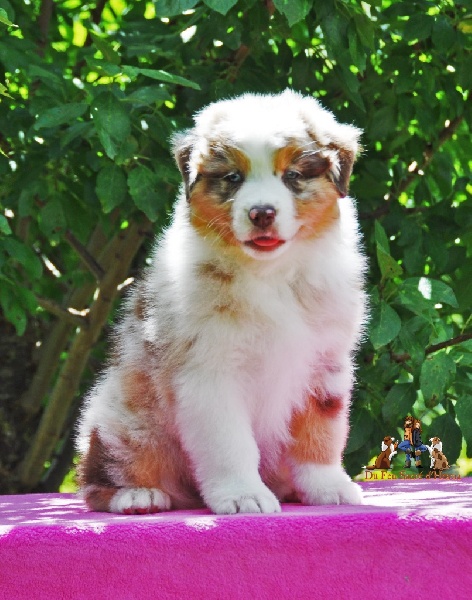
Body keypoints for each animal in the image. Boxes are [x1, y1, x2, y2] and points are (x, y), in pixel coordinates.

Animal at [76, 90, 367, 515]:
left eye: (293, 176)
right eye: (233, 178)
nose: (261, 213)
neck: (270, 274)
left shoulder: (326, 364)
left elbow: (322, 432)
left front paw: (329, 486)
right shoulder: (209, 370)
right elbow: (230, 443)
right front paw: (244, 495)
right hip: (123, 417)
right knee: (101, 471)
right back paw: (137, 494)